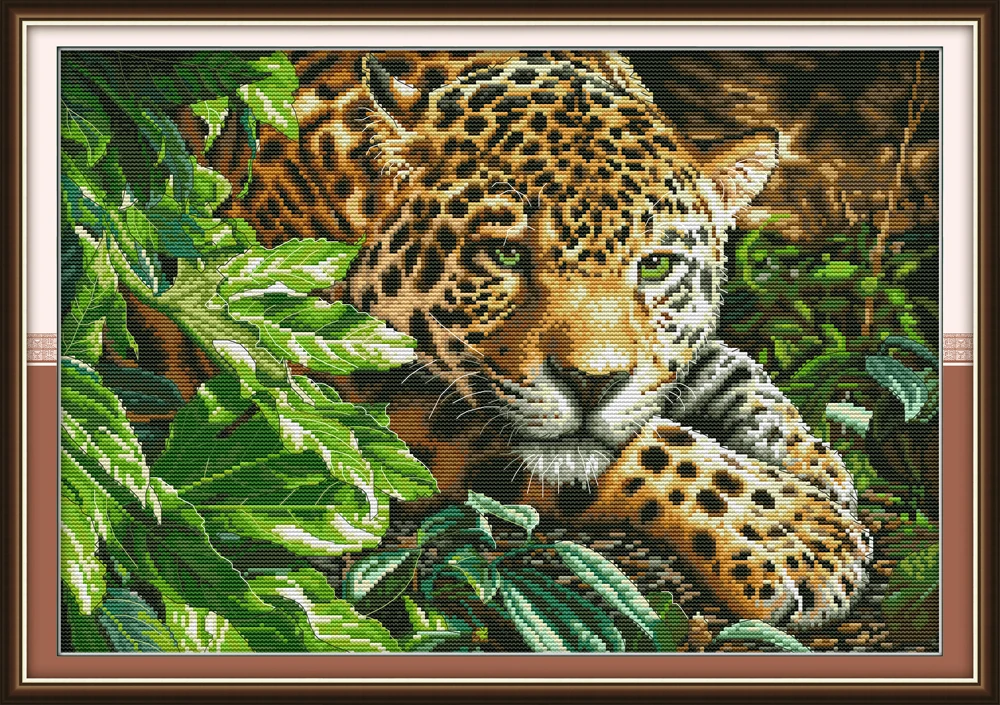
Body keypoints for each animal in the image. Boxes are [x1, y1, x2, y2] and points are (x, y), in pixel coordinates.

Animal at [182, 50, 873, 629]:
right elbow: (657, 446)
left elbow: (739, 379)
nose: (592, 385)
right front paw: (802, 535)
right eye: (507, 254)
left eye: (655, 267)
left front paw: (824, 473)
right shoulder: (334, 388)